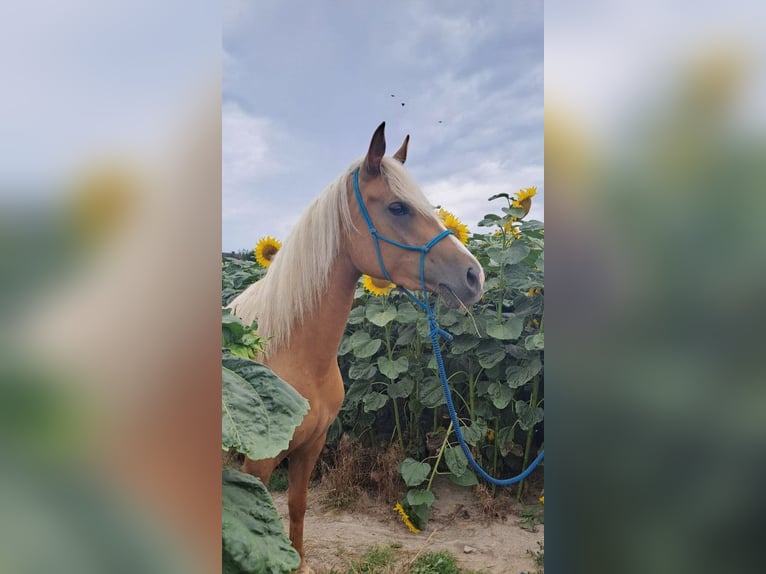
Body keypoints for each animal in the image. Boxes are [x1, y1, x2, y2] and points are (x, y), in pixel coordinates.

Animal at [228, 122, 485, 573]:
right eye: (398, 208)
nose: (475, 276)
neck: (291, 353)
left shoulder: (312, 446)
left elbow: (297, 506)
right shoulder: (258, 462)